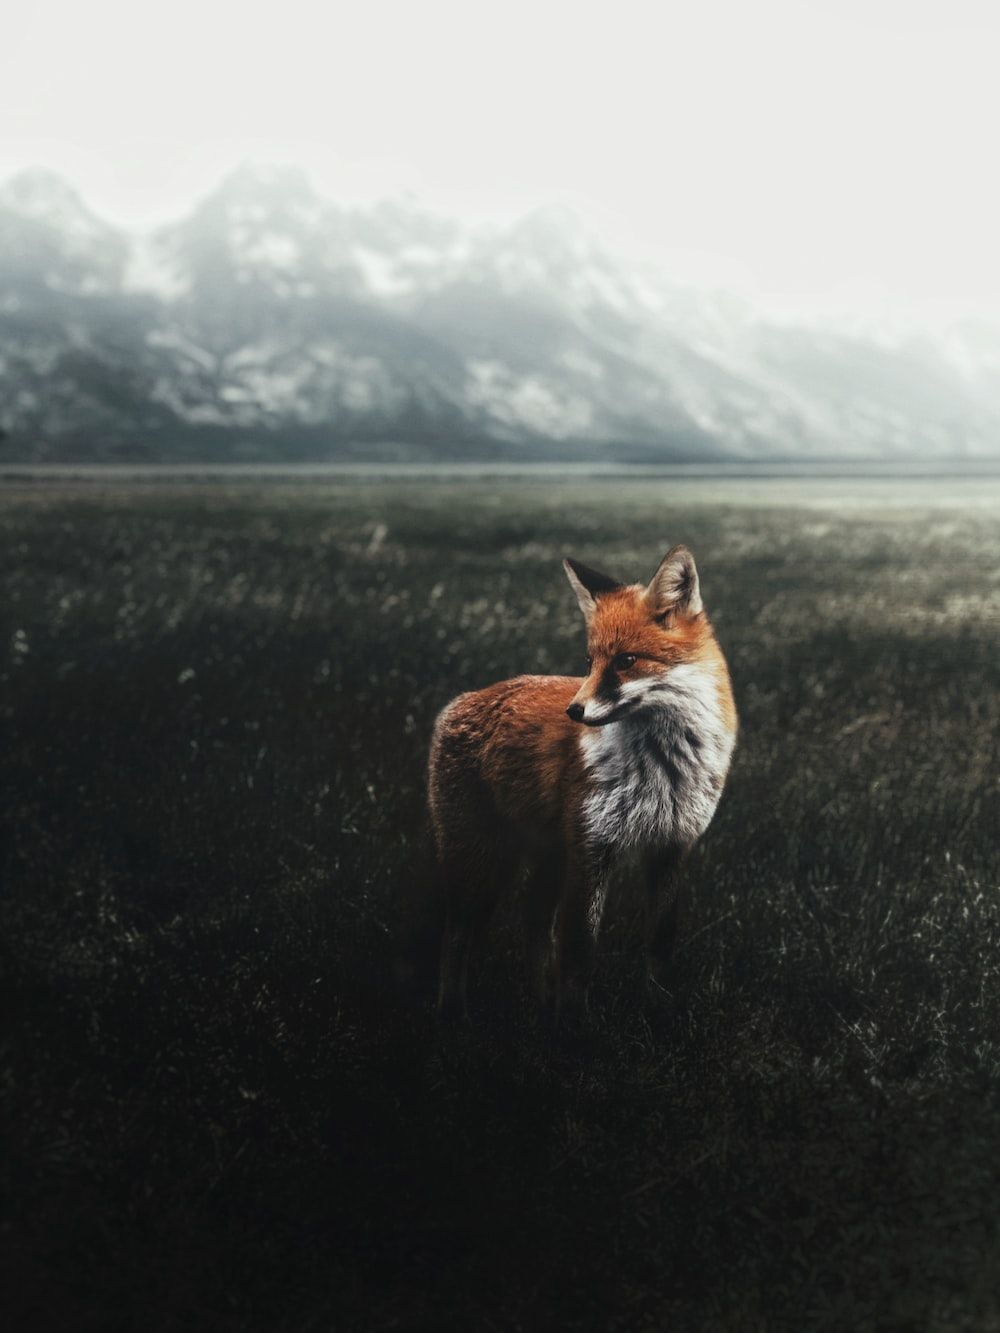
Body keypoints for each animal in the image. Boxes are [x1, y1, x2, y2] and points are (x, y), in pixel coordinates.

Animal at [426, 549, 741, 1018]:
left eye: (626, 661)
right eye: (589, 663)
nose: (574, 711)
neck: (660, 767)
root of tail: (459, 701)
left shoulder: (671, 845)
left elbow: (660, 945)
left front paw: (657, 1011)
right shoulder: (593, 848)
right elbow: (577, 953)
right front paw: (574, 1027)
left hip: (548, 857)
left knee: (533, 925)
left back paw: (540, 1004)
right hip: (482, 861)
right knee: (456, 936)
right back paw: (452, 1012)